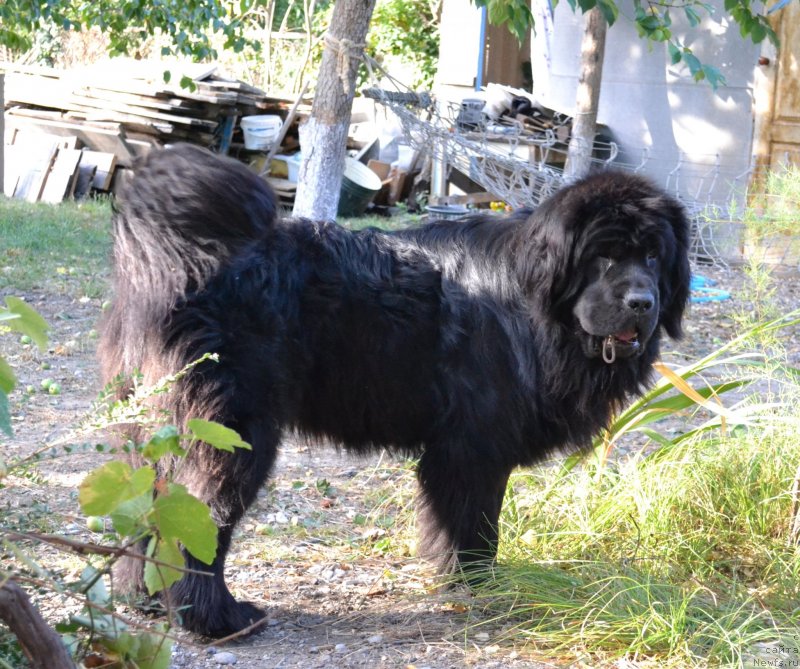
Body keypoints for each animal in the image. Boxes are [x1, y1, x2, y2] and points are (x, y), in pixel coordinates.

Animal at [98, 144, 688, 636]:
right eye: (603, 256)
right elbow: (477, 526)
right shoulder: (474, 447)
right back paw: (214, 617)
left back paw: (143, 598)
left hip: (156, 435)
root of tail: (191, 261)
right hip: (235, 435)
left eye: (653, 257)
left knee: (152, 506)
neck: (535, 303)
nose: (641, 302)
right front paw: (477, 587)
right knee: (201, 516)